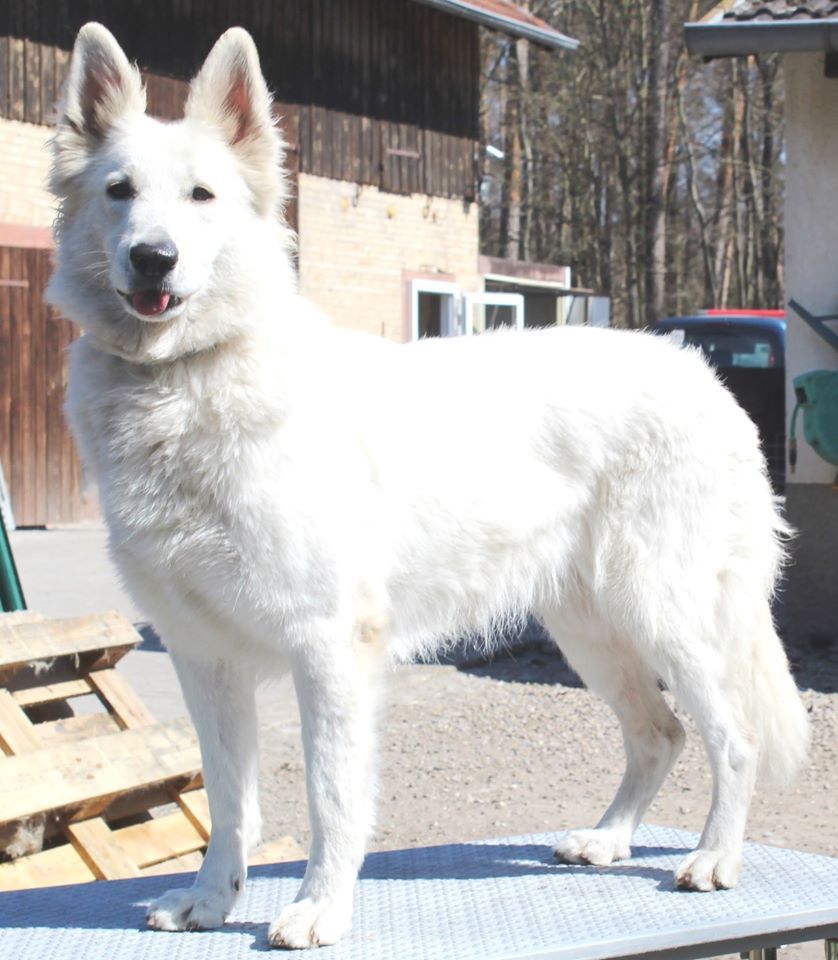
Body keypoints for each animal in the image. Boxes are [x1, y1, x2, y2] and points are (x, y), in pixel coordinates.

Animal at [48, 22, 808, 949]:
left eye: (202, 196)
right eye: (119, 192)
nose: (152, 258)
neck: (186, 379)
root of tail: (704, 376)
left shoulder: (328, 649)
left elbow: (332, 797)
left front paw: (320, 908)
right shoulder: (205, 658)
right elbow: (228, 802)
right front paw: (209, 901)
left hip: (662, 613)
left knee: (731, 736)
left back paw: (713, 859)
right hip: (589, 627)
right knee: (658, 733)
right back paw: (610, 839)